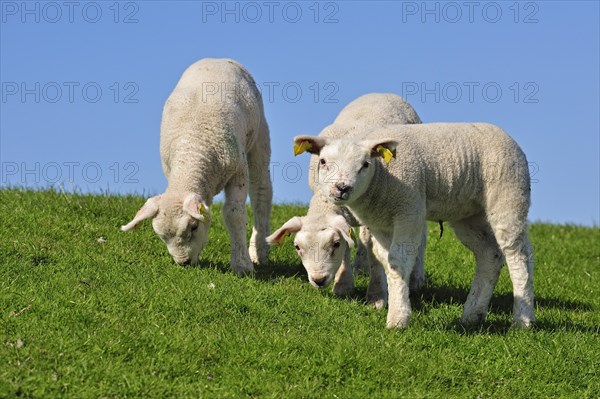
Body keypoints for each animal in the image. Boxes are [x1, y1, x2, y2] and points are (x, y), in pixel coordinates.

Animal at [122, 57, 272, 276]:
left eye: (192, 227)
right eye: (161, 236)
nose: (183, 262)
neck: (192, 148)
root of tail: (218, 59)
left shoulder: (238, 171)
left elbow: (234, 214)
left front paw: (242, 265)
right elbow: (206, 212)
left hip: (259, 133)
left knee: (261, 192)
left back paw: (259, 250)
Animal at [264, 93, 424, 306]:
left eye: (334, 245)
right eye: (297, 247)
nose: (319, 280)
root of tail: (382, 93)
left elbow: (373, 251)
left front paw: (376, 295)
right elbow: (351, 245)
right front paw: (343, 284)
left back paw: (416, 279)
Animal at [294, 123, 536, 330]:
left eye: (365, 165)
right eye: (323, 162)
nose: (342, 188)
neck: (381, 178)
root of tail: (506, 136)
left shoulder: (409, 210)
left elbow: (399, 261)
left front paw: (398, 319)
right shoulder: (379, 222)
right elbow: (386, 260)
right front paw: (394, 304)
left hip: (508, 196)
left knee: (518, 256)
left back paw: (523, 320)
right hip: (469, 214)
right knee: (490, 255)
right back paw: (472, 315)